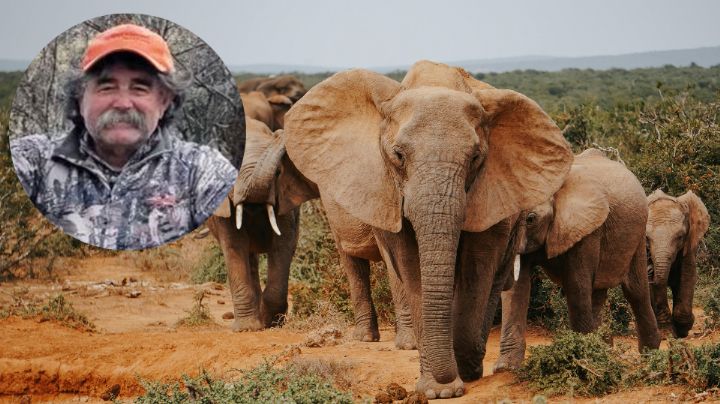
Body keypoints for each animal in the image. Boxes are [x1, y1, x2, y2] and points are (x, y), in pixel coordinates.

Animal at [207, 118, 317, 331]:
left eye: (278, 173)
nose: (280, 133)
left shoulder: (283, 199)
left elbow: (283, 244)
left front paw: (270, 322)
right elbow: (233, 245)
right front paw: (247, 328)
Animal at [284, 60, 573, 398]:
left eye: (476, 157)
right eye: (398, 155)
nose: (452, 378)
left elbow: (478, 264)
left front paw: (460, 373)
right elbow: (410, 267)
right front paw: (437, 389)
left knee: (496, 277)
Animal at [494, 149, 662, 372]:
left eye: (530, 219)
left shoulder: (587, 229)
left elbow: (576, 286)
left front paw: (582, 362)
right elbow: (517, 288)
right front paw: (505, 368)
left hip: (638, 233)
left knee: (635, 291)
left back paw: (649, 356)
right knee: (597, 294)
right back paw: (605, 352)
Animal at [646, 189, 710, 337]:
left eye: (680, 237)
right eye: (647, 238)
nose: (650, 270)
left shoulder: (689, 243)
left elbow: (688, 276)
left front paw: (683, 330)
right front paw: (667, 333)